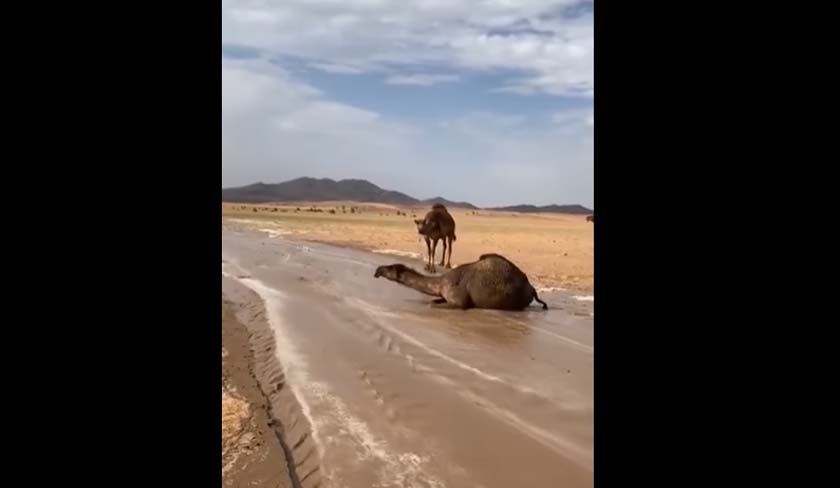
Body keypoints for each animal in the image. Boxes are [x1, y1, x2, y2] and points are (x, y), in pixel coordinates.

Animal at [376, 254, 552, 310]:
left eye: (391, 267)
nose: (377, 270)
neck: (441, 283)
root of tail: (532, 289)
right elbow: (434, 300)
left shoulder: (458, 299)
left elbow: (437, 304)